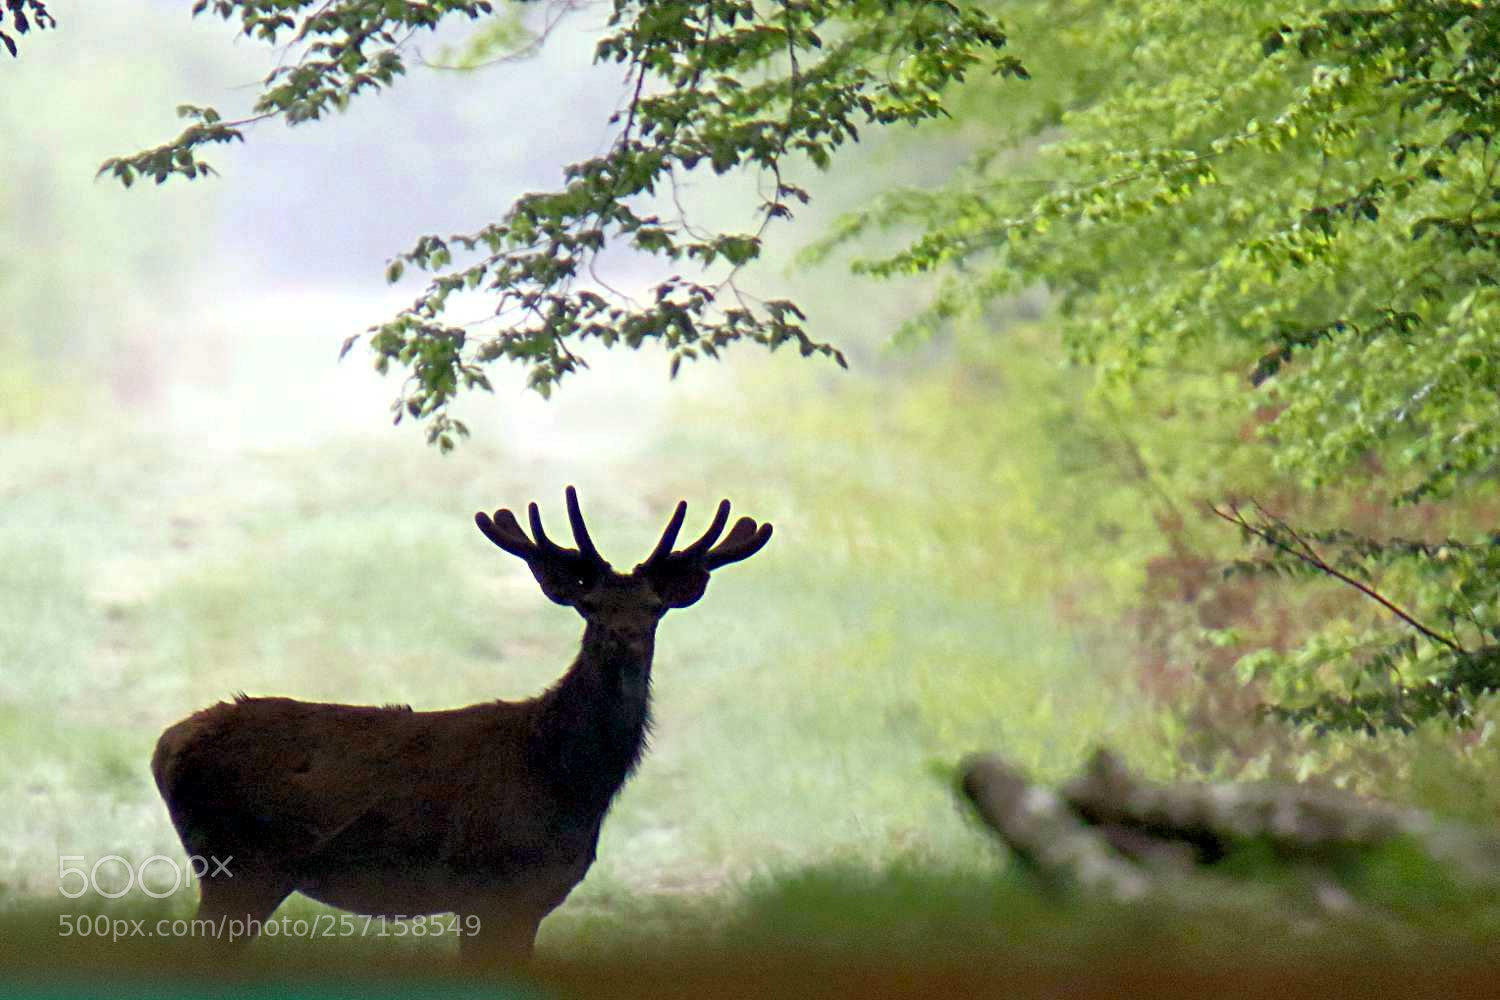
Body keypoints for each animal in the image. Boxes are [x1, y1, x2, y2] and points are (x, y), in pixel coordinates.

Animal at [150, 486, 771, 965]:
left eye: (653, 608)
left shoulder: (527, 899)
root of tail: (165, 746)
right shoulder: (490, 888)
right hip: (239, 867)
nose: (624, 639)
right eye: (589, 606)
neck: (565, 780)